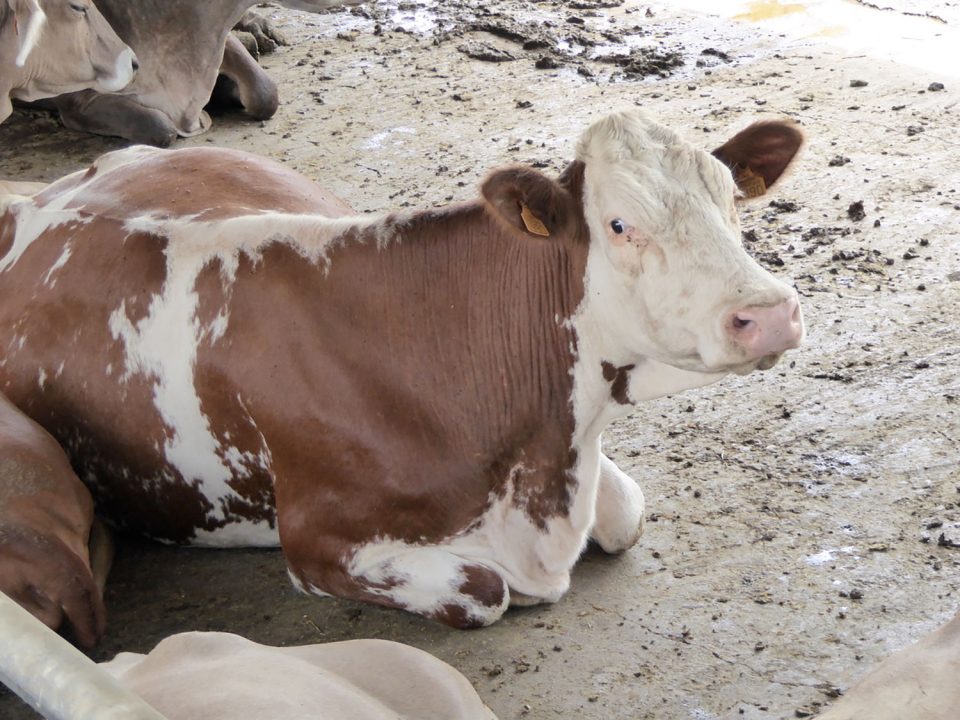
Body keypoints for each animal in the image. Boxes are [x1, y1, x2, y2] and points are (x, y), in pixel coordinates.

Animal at [0, 111, 804, 640]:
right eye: (618, 225)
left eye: (732, 200)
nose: (769, 313)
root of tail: (43, 194)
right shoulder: (317, 543)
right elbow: (483, 589)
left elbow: (626, 512)